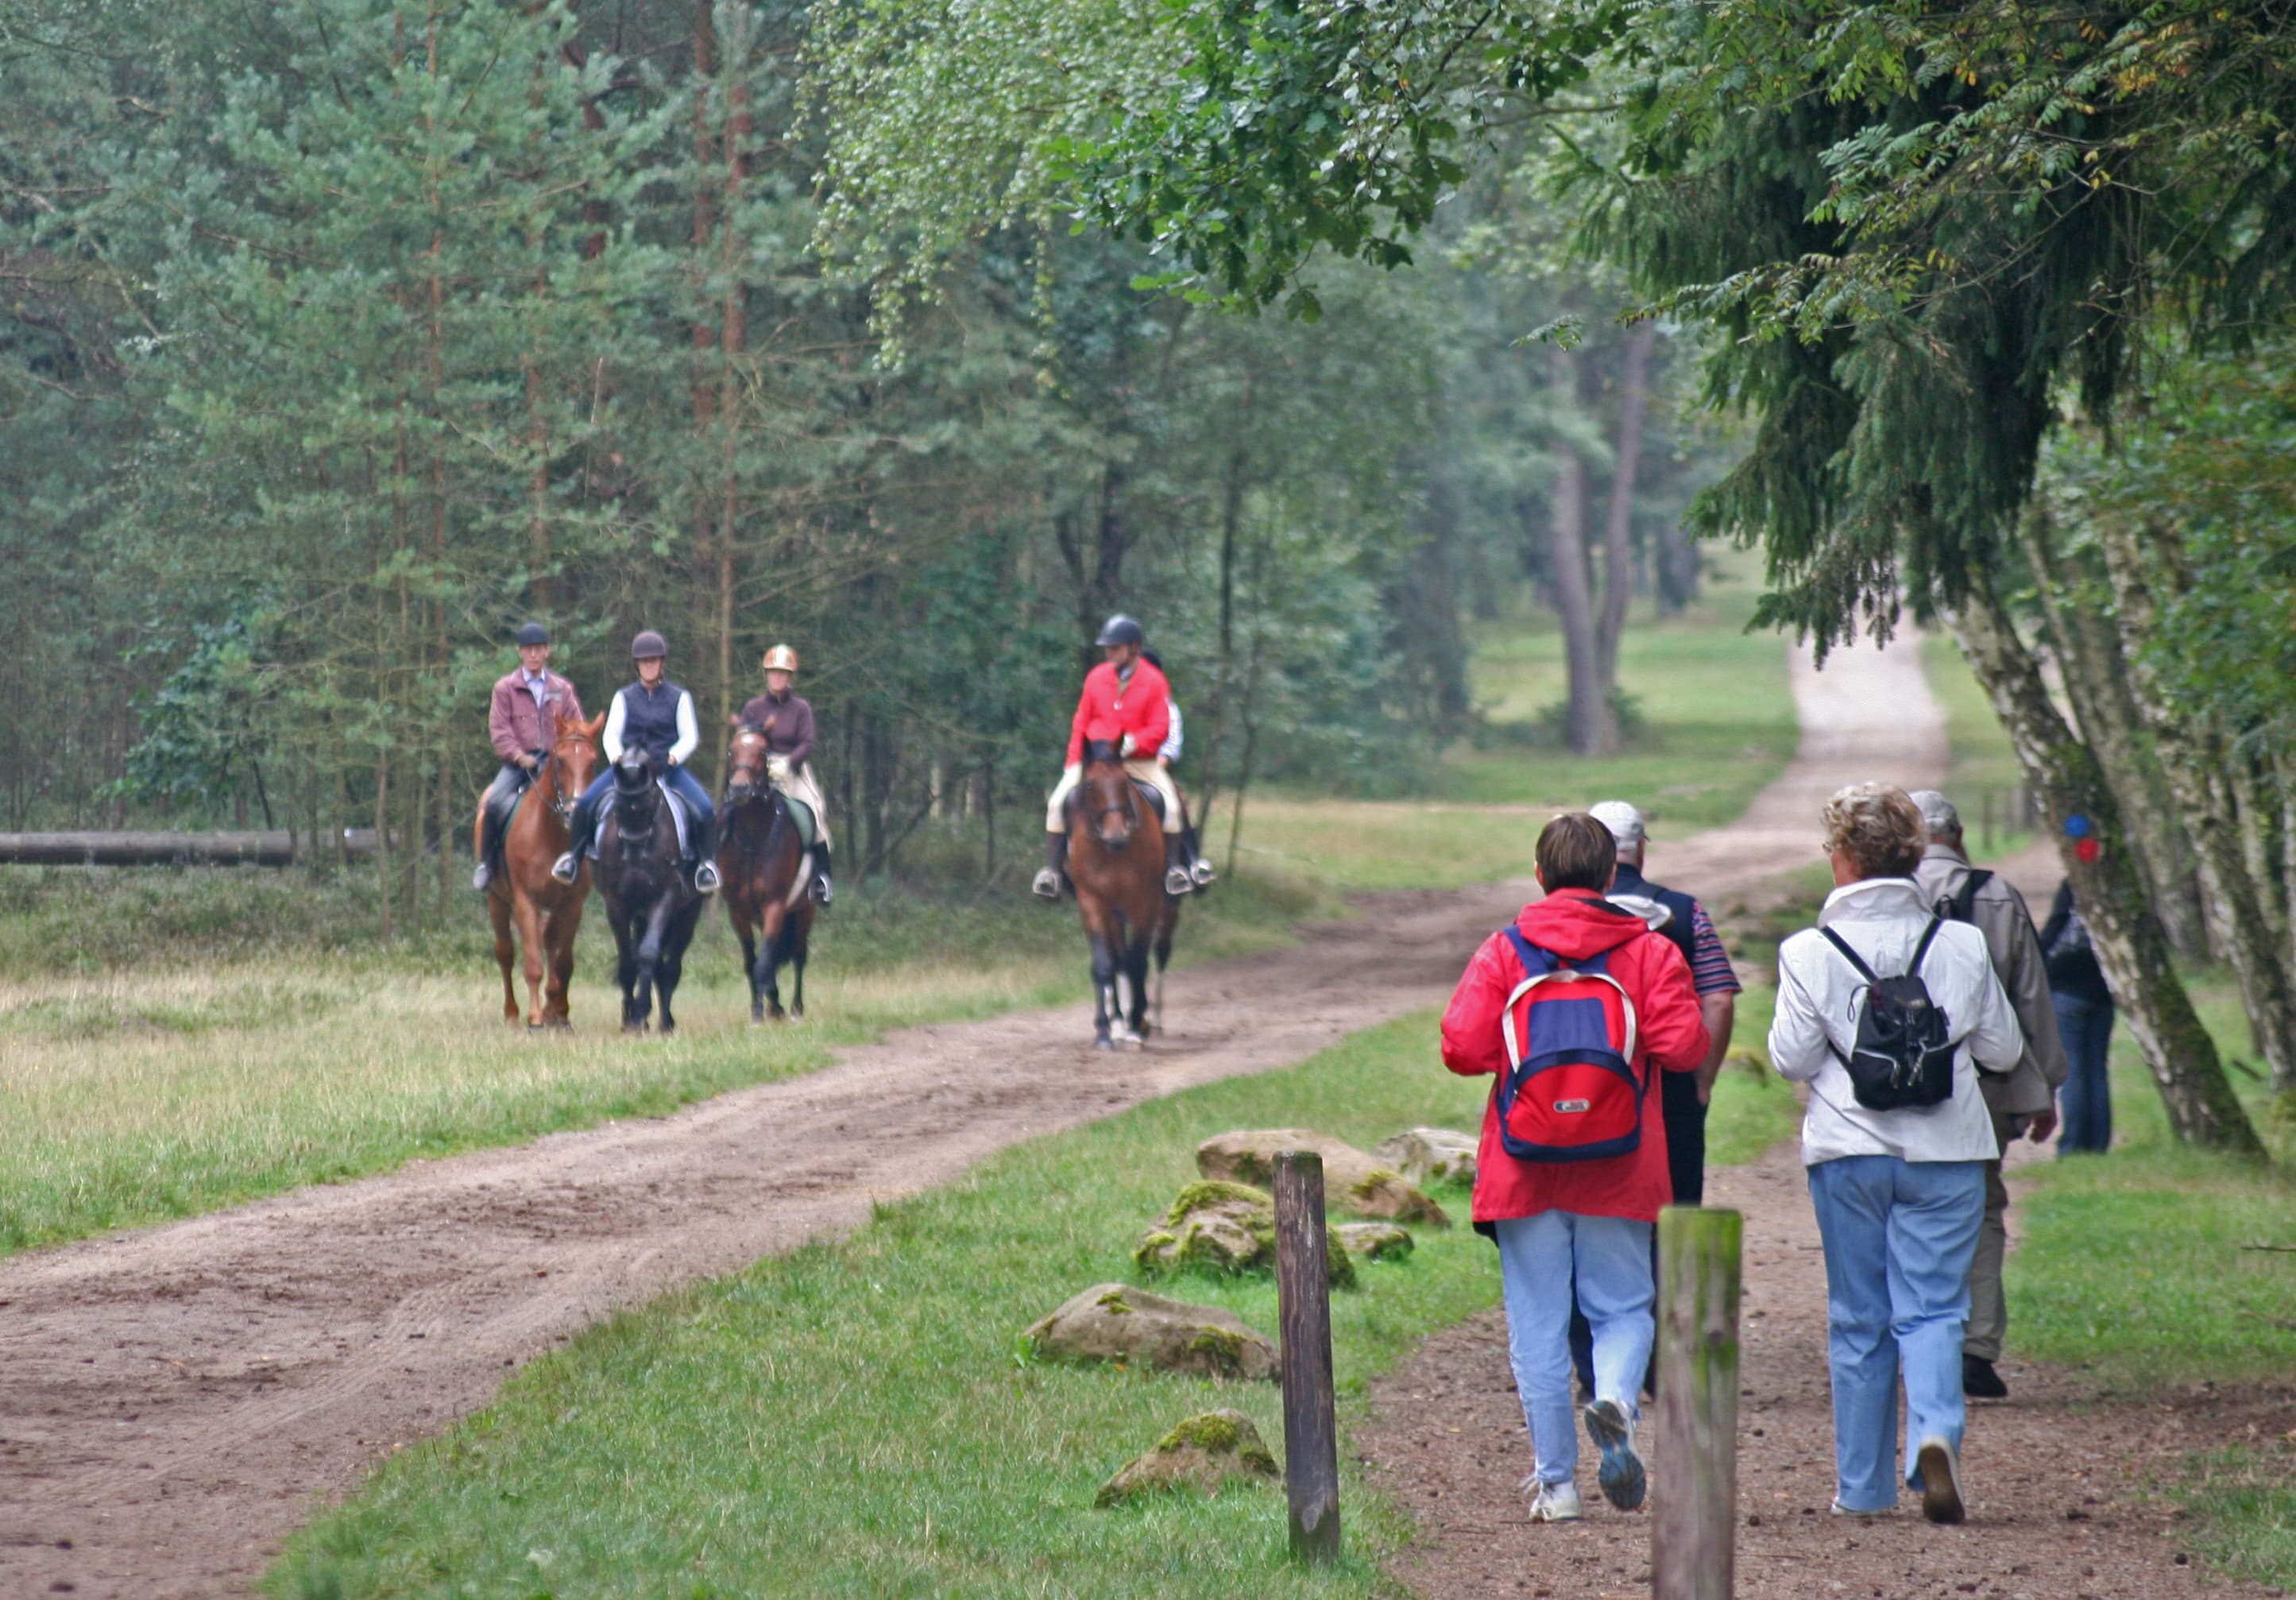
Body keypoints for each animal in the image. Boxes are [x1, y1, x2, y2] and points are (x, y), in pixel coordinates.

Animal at [484, 706, 610, 1023]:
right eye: (560, 759)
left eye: (593, 761)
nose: (574, 813)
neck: (551, 835)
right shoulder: (526, 901)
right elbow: (532, 963)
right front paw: (536, 1019)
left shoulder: (572, 904)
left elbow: (563, 961)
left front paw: (560, 1015)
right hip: (497, 900)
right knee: (506, 953)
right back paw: (513, 1013)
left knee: (550, 945)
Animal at [587, 752, 702, 1038]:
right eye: (618, 803)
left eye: (649, 801)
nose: (634, 853)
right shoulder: (616, 904)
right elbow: (629, 961)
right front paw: (630, 1019)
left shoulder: (665, 898)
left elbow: (649, 954)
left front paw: (640, 1013)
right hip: (640, 914)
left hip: (688, 913)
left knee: (671, 966)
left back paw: (666, 1022)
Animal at [725, 725, 826, 1023]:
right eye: (732, 751)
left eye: (762, 753)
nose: (740, 789)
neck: (753, 836)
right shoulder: (738, 911)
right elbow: (753, 962)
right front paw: (762, 1006)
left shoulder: (774, 906)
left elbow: (766, 960)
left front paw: (759, 1013)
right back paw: (775, 1004)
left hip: (805, 911)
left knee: (799, 955)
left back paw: (795, 1008)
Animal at [1056, 734, 1175, 1046]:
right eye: (1089, 785)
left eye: (1123, 782)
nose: (1116, 836)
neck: (1112, 853)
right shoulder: (1093, 902)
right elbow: (1105, 963)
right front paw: (1104, 1029)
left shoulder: (1146, 902)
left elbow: (1137, 961)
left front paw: (1136, 1025)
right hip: (1114, 913)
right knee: (1118, 958)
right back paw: (1118, 1021)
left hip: (1164, 908)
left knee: (1156, 953)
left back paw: (1146, 1021)